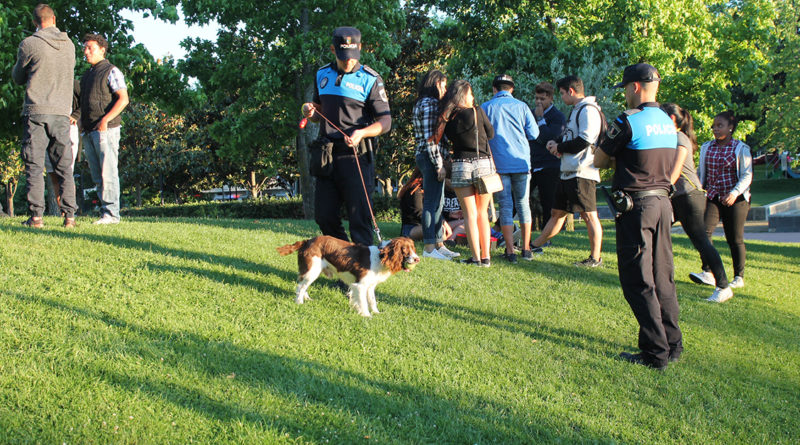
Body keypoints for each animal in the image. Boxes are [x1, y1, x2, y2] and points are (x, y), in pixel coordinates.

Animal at [276, 236, 418, 316]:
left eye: (413, 248)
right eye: (405, 249)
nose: (417, 259)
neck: (380, 256)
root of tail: (307, 241)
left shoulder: (370, 285)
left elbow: (372, 300)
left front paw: (376, 313)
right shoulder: (360, 285)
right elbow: (363, 302)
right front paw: (366, 315)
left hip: (313, 271)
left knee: (303, 285)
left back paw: (307, 298)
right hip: (312, 270)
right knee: (300, 286)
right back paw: (299, 302)